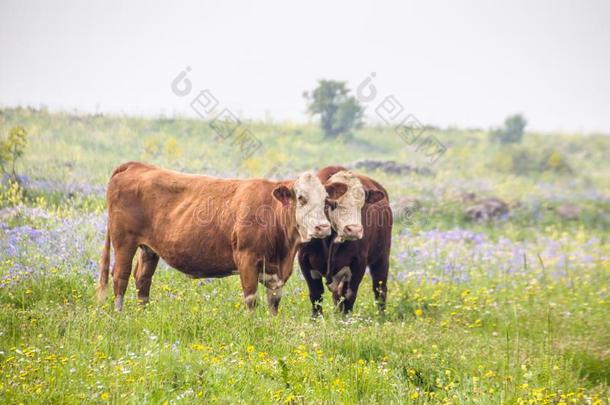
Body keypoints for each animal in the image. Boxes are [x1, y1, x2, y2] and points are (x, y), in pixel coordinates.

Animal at [98, 161, 350, 312]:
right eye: (301, 198)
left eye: (326, 201)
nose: (322, 227)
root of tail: (136, 166)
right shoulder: (246, 258)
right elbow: (251, 298)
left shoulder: (278, 270)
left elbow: (274, 301)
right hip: (124, 242)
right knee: (120, 277)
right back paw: (120, 315)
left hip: (148, 249)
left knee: (142, 279)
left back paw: (144, 313)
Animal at [298, 166, 392, 314]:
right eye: (333, 203)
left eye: (362, 204)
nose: (353, 230)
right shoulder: (304, 259)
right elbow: (316, 294)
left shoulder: (358, 262)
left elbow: (349, 294)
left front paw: (346, 318)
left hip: (382, 257)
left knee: (380, 288)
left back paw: (381, 314)